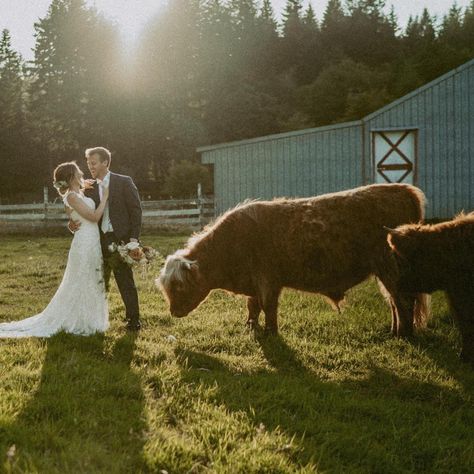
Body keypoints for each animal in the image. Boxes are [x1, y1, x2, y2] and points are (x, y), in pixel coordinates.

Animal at [157, 183, 428, 336]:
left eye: (178, 285)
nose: (173, 312)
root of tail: (403, 190)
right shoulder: (254, 283)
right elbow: (252, 306)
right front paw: (250, 326)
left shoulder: (268, 281)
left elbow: (268, 307)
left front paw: (271, 332)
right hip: (385, 272)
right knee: (393, 301)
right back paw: (393, 331)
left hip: (390, 267)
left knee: (403, 301)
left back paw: (403, 335)